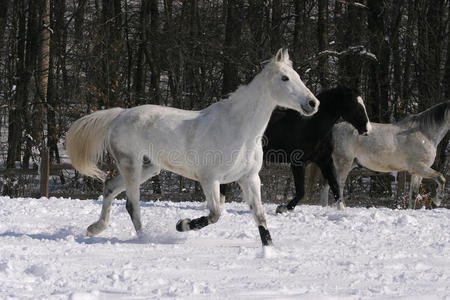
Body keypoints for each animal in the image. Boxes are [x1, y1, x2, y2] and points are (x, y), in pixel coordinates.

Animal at [66, 49, 320, 246]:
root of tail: (120, 114)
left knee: (110, 187)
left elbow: (260, 217)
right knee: (131, 204)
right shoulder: (210, 179)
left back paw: (95, 228)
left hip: (149, 167)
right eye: (285, 78)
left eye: (298, 76)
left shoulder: (249, 178)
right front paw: (182, 225)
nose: (312, 103)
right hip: (131, 165)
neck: (239, 129)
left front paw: (269, 251)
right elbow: (215, 214)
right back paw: (144, 238)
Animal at [220, 86, 370, 213]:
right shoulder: (298, 163)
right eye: (355, 105)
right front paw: (283, 208)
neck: (311, 126)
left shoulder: (324, 161)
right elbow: (301, 191)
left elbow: (334, 185)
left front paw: (342, 209)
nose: (367, 129)